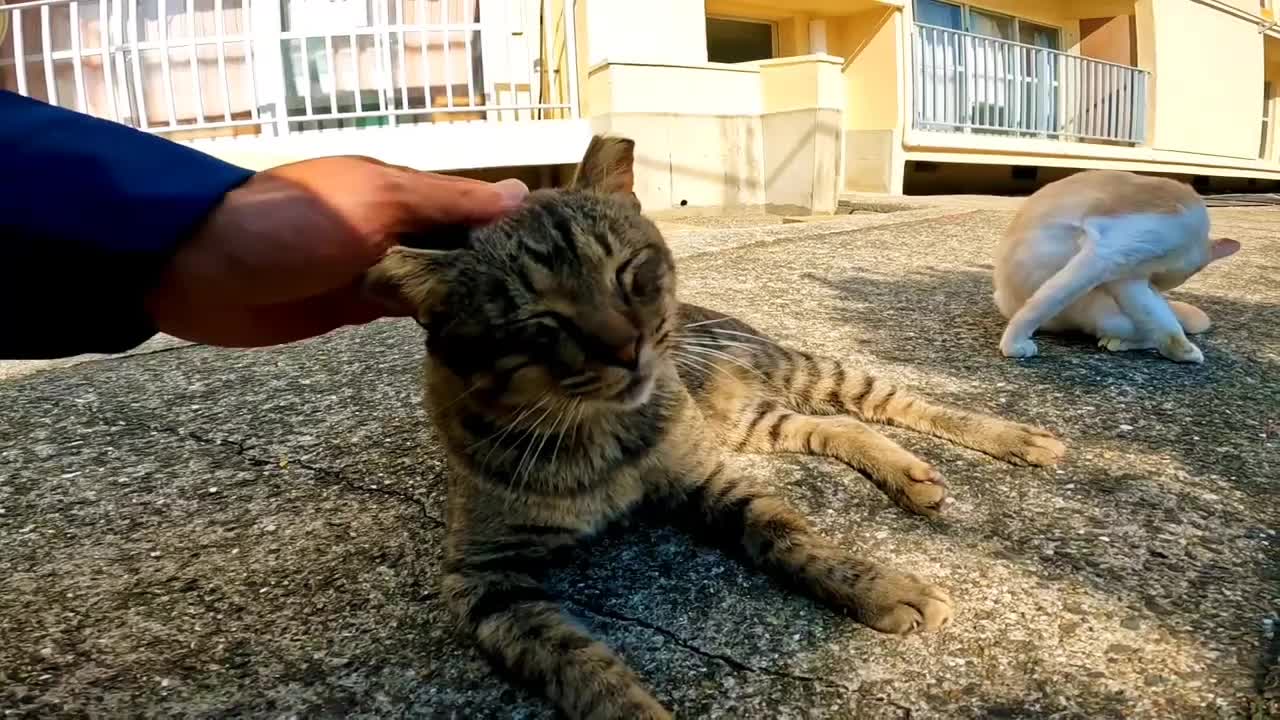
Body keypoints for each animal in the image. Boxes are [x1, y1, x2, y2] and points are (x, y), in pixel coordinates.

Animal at [366, 135, 1064, 717]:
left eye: (629, 272)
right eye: (539, 322)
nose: (627, 348)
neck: (599, 434)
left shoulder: (710, 481)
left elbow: (792, 537)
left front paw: (879, 585)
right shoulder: (482, 578)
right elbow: (574, 663)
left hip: (796, 373)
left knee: (889, 400)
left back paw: (1017, 437)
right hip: (754, 421)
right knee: (840, 426)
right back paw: (910, 472)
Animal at [993, 169, 1233, 363]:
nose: (1155, 287)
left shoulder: (1125, 270)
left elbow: (1159, 317)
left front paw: (1179, 351)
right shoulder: (1106, 254)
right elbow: (1045, 301)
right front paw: (1014, 342)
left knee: (1154, 326)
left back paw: (1118, 342)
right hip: (1104, 311)